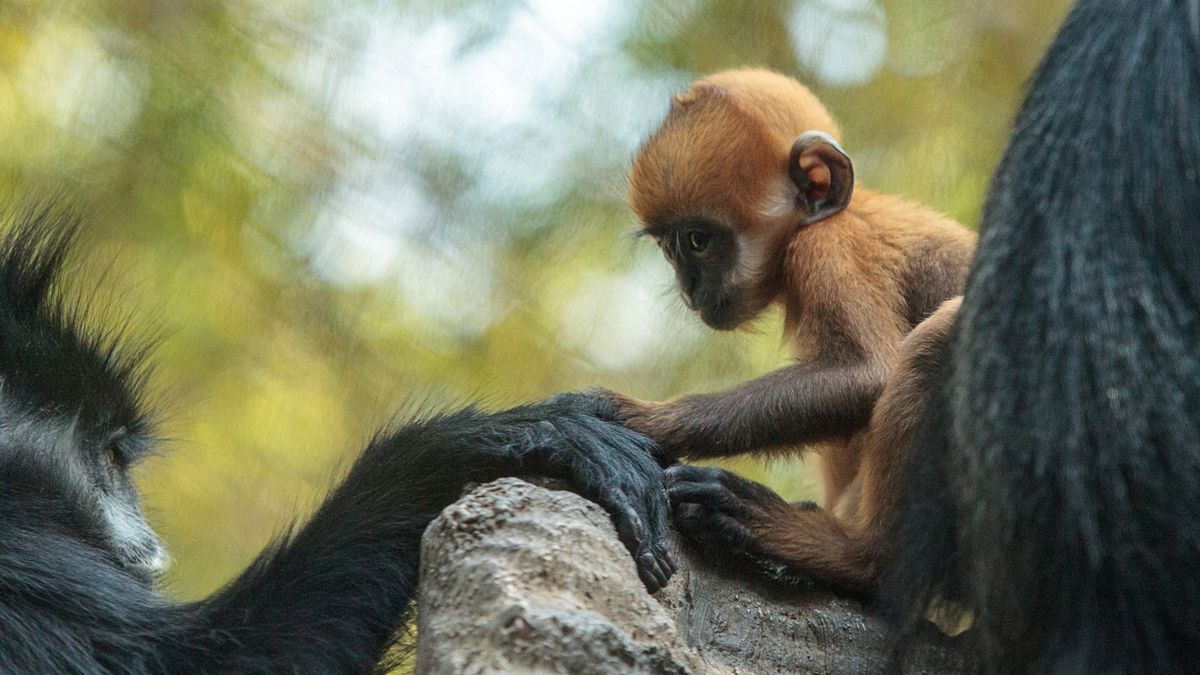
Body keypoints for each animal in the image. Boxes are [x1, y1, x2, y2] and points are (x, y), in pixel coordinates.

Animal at [604, 68, 976, 593]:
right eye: (668, 248)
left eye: (697, 242)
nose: (688, 288)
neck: (843, 212)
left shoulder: (827, 246)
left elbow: (867, 374)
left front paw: (635, 418)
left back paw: (853, 556)